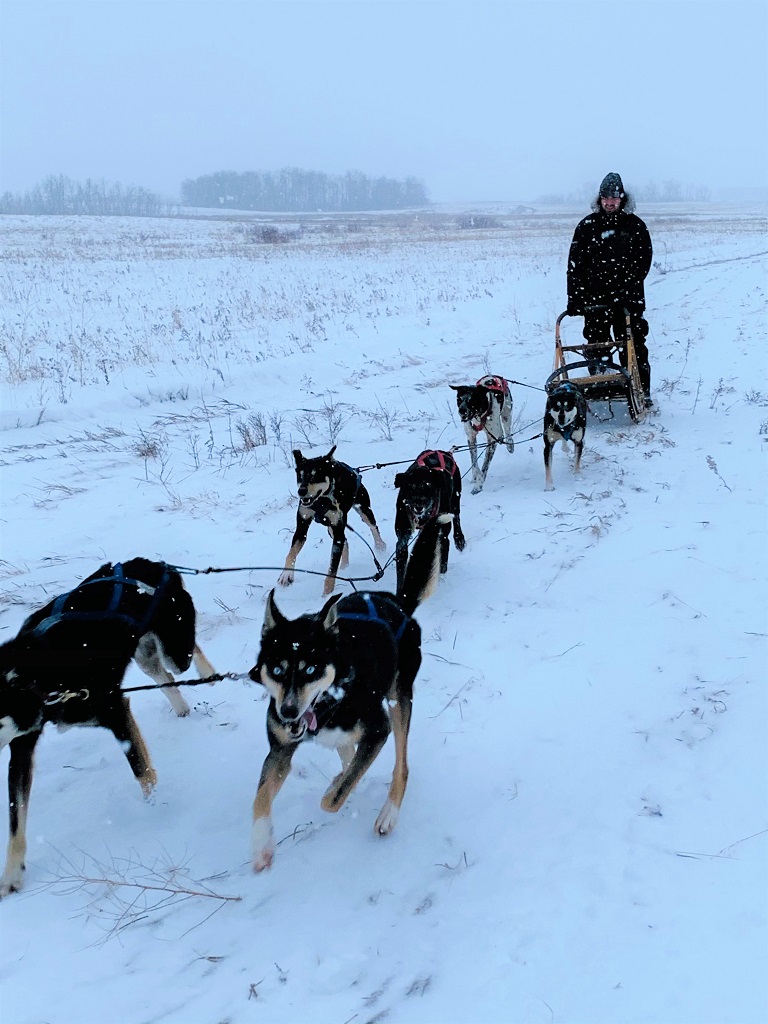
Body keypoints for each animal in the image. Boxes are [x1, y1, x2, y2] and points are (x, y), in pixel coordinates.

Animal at [0, 557, 217, 901]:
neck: (40, 674)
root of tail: (152, 563)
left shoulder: (116, 712)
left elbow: (142, 772)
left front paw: (157, 811)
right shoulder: (21, 748)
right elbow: (15, 817)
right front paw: (11, 874)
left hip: (174, 645)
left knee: (186, 653)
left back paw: (207, 672)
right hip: (145, 656)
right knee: (165, 676)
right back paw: (182, 709)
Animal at [247, 512, 450, 872]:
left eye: (311, 669)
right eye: (278, 670)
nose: (288, 712)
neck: (331, 698)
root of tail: (398, 604)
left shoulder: (378, 730)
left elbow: (334, 798)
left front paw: (336, 788)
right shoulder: (280, 750)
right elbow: (260, 798)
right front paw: (261, 846)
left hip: (398, 700)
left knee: (401, 764)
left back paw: (388, 813)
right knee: (348, 752)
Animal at [280, 444, 387, 598]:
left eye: (315, 475)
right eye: (300, 476)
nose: (301, 491)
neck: (321, 501)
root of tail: (354, 470)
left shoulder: (338, 526)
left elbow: (332, 569)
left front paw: (327, 594)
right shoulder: (302, 526)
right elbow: (291, 552)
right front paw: (286, 574)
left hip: (363, 509)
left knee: (372, 527)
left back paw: (380, 546)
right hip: (331, 528)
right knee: (345, 541)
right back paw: (344, 566)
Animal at [393, 450, 466, 598]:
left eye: (428, 486)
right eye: (410, 487)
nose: (419, 505)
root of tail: (443, 452)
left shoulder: (442, 531)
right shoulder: (402, 539)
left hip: (455, 500)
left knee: (456, 518)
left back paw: (459, 538)